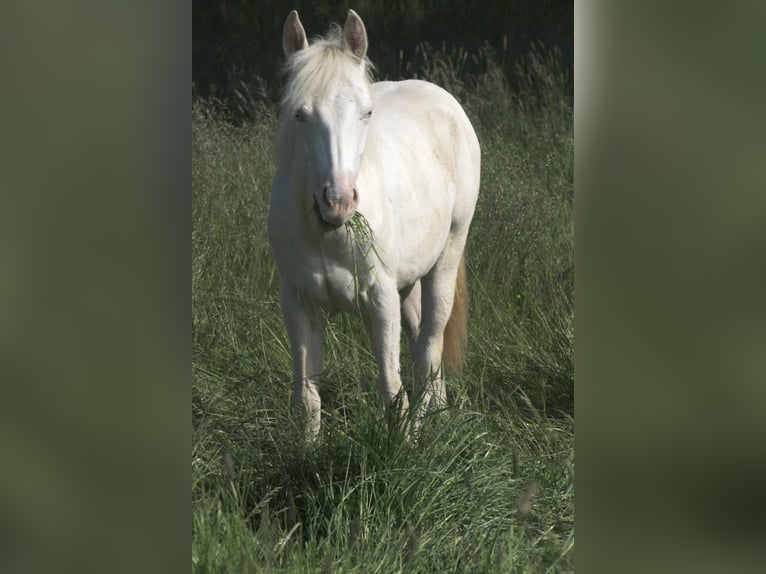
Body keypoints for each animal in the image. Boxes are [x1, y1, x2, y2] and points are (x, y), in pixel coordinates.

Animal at [268, 9, 481, 438]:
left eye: (366, 113)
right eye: (300, 114)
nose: (338, 201)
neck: (326, 232)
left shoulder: (379, 298)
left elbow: (392, 390)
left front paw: (405, 445)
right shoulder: (297, 302)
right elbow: (307, 398)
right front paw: (307, 449)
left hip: (446, 258)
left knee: (430, 345)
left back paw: (427, 425)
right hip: (408, 283)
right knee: (421, 341)